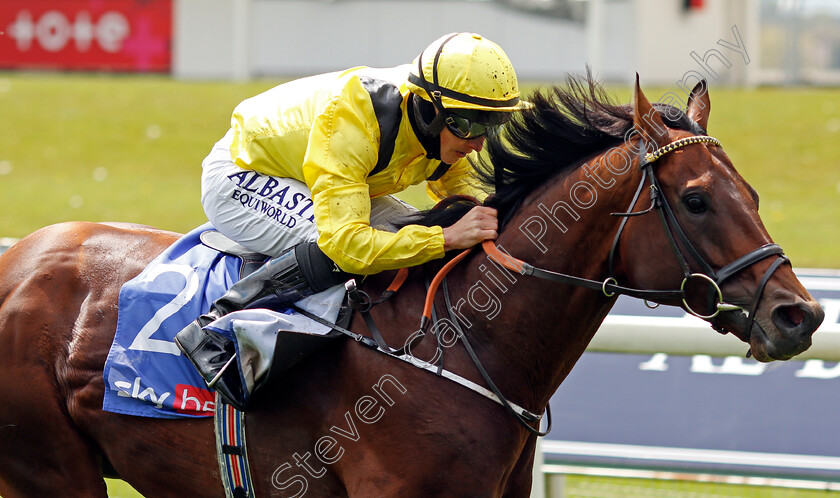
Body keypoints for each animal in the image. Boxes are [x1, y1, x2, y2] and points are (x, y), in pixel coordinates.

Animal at [0, 76, 824, 496]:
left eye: (752, 192)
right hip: (51, 472)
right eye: (697, 200)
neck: (461, 342)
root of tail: (18, 262)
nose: (801, 315)